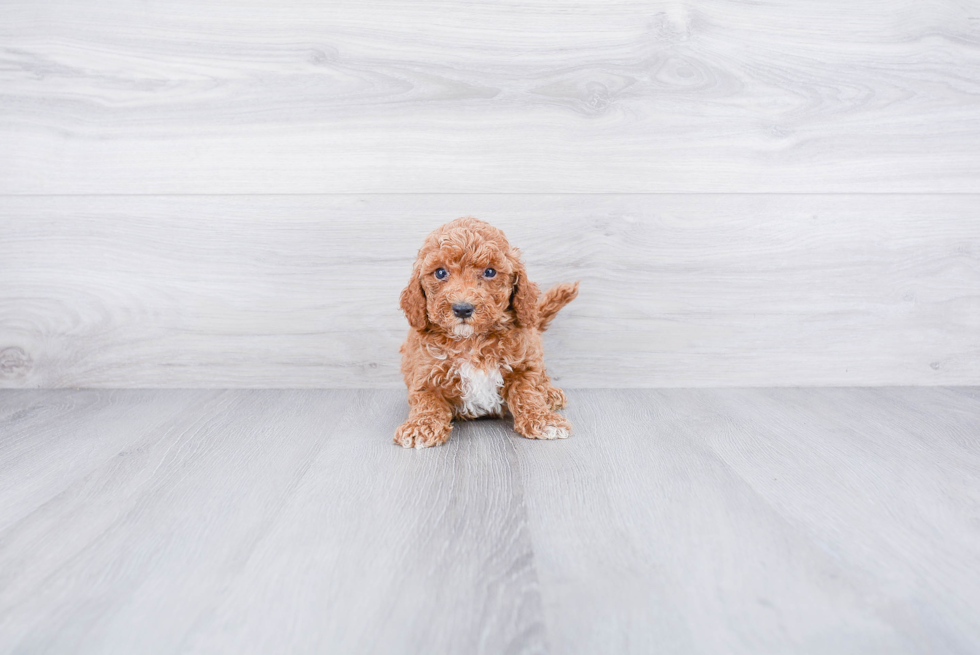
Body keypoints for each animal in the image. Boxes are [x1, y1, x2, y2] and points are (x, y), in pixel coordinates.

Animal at [394, 218, 580, 448]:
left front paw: (543, 419)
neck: (470, 340)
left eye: (490, 272)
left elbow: (528, 392)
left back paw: (551, 393)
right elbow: (427, 401)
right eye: (440, 272)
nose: (462, 308)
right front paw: (420, 426)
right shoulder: (425, 374)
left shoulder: (523, 364)